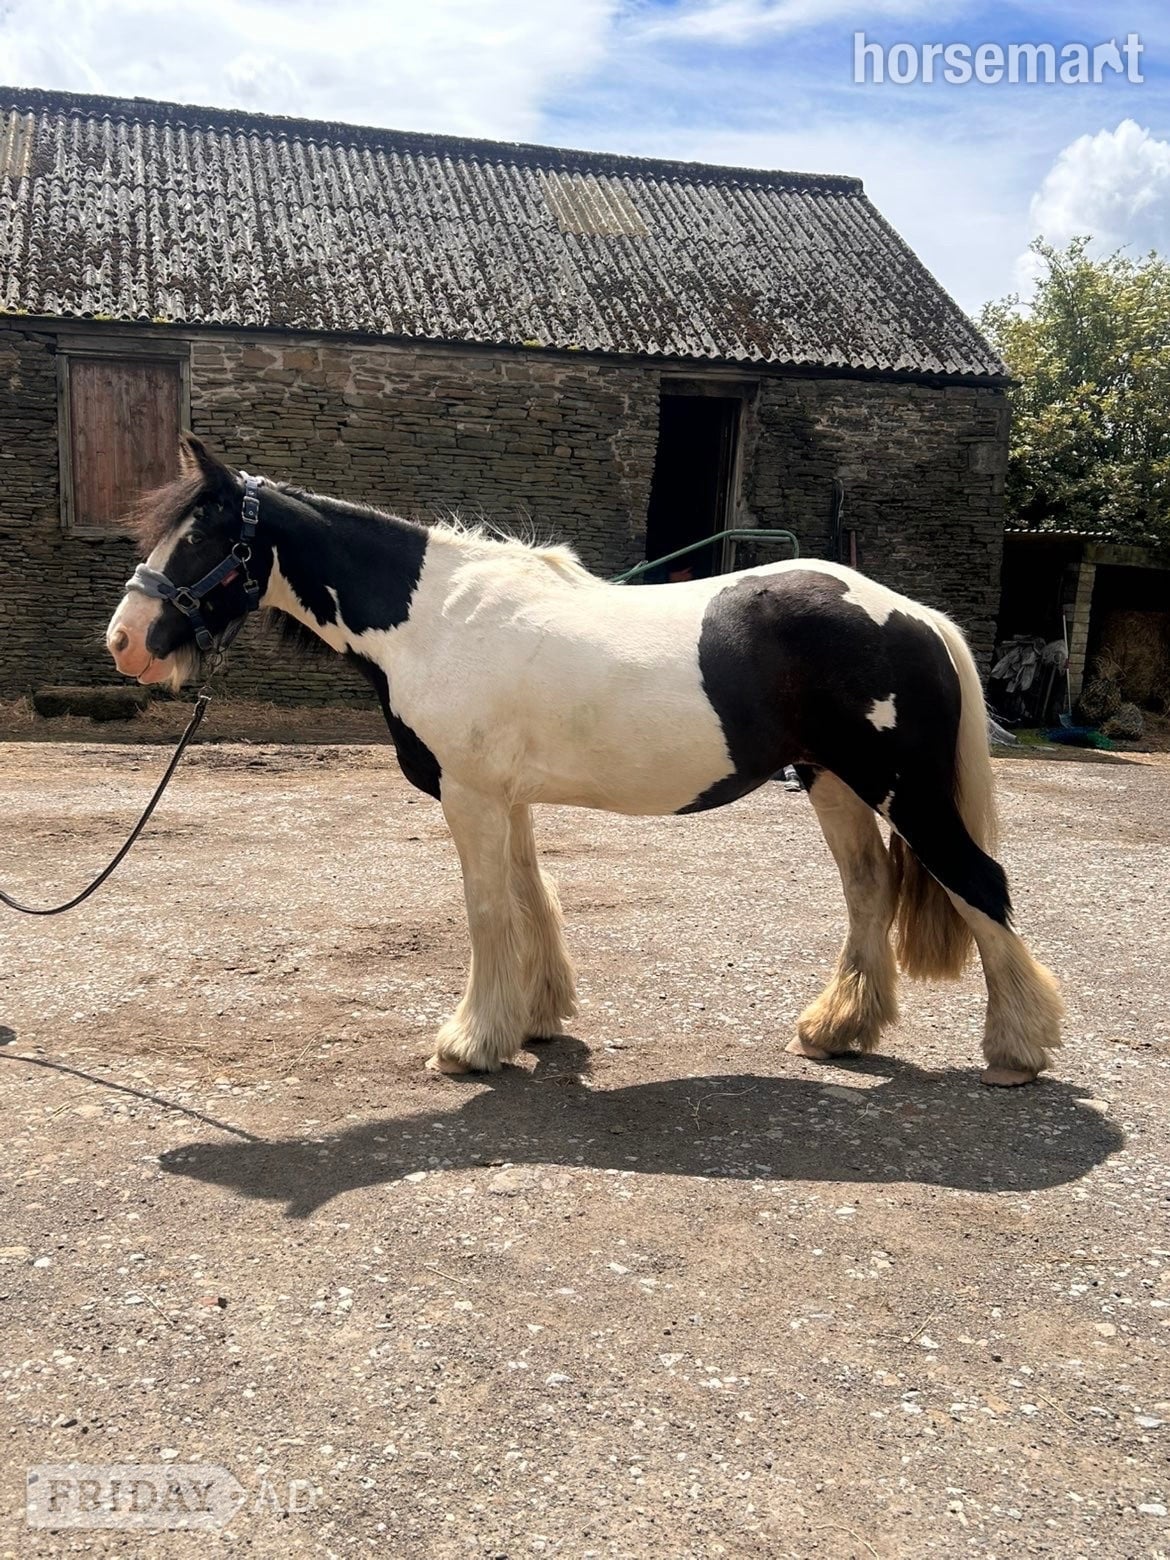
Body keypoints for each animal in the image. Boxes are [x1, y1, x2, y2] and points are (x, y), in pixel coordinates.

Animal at [106, 435, 1063, 1087]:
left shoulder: (471, 797)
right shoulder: (508, 799)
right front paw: (532, 1022)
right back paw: (838, 1029)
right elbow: (534, 900)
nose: (126, 642)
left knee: (979, 885)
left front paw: (469, 1044)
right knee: (869, 890)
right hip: (833, 783)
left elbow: (488, 911)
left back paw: (1016, 1049)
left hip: (905, 790)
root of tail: (913, 614)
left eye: (203, 538)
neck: (432, 618)